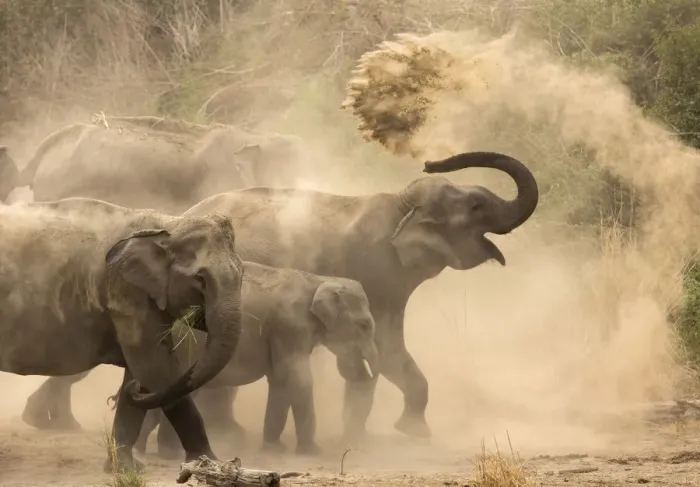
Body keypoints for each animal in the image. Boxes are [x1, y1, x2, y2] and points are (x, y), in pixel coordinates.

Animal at [0, 196, 245, 472]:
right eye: (201, 279)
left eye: (242, 274)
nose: (116, 396)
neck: (168, 223)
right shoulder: (125, 291)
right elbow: (155, 368)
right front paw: (210, 462)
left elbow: (141, 370)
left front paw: (125, 468)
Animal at [106, 261, 378, 459]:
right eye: (364, 326)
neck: (318, 280)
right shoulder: (289, 328)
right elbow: (297, 379)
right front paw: (312, 452)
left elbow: (280, 381)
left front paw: (274, 448)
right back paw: (168, 454)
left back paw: (145, 449)